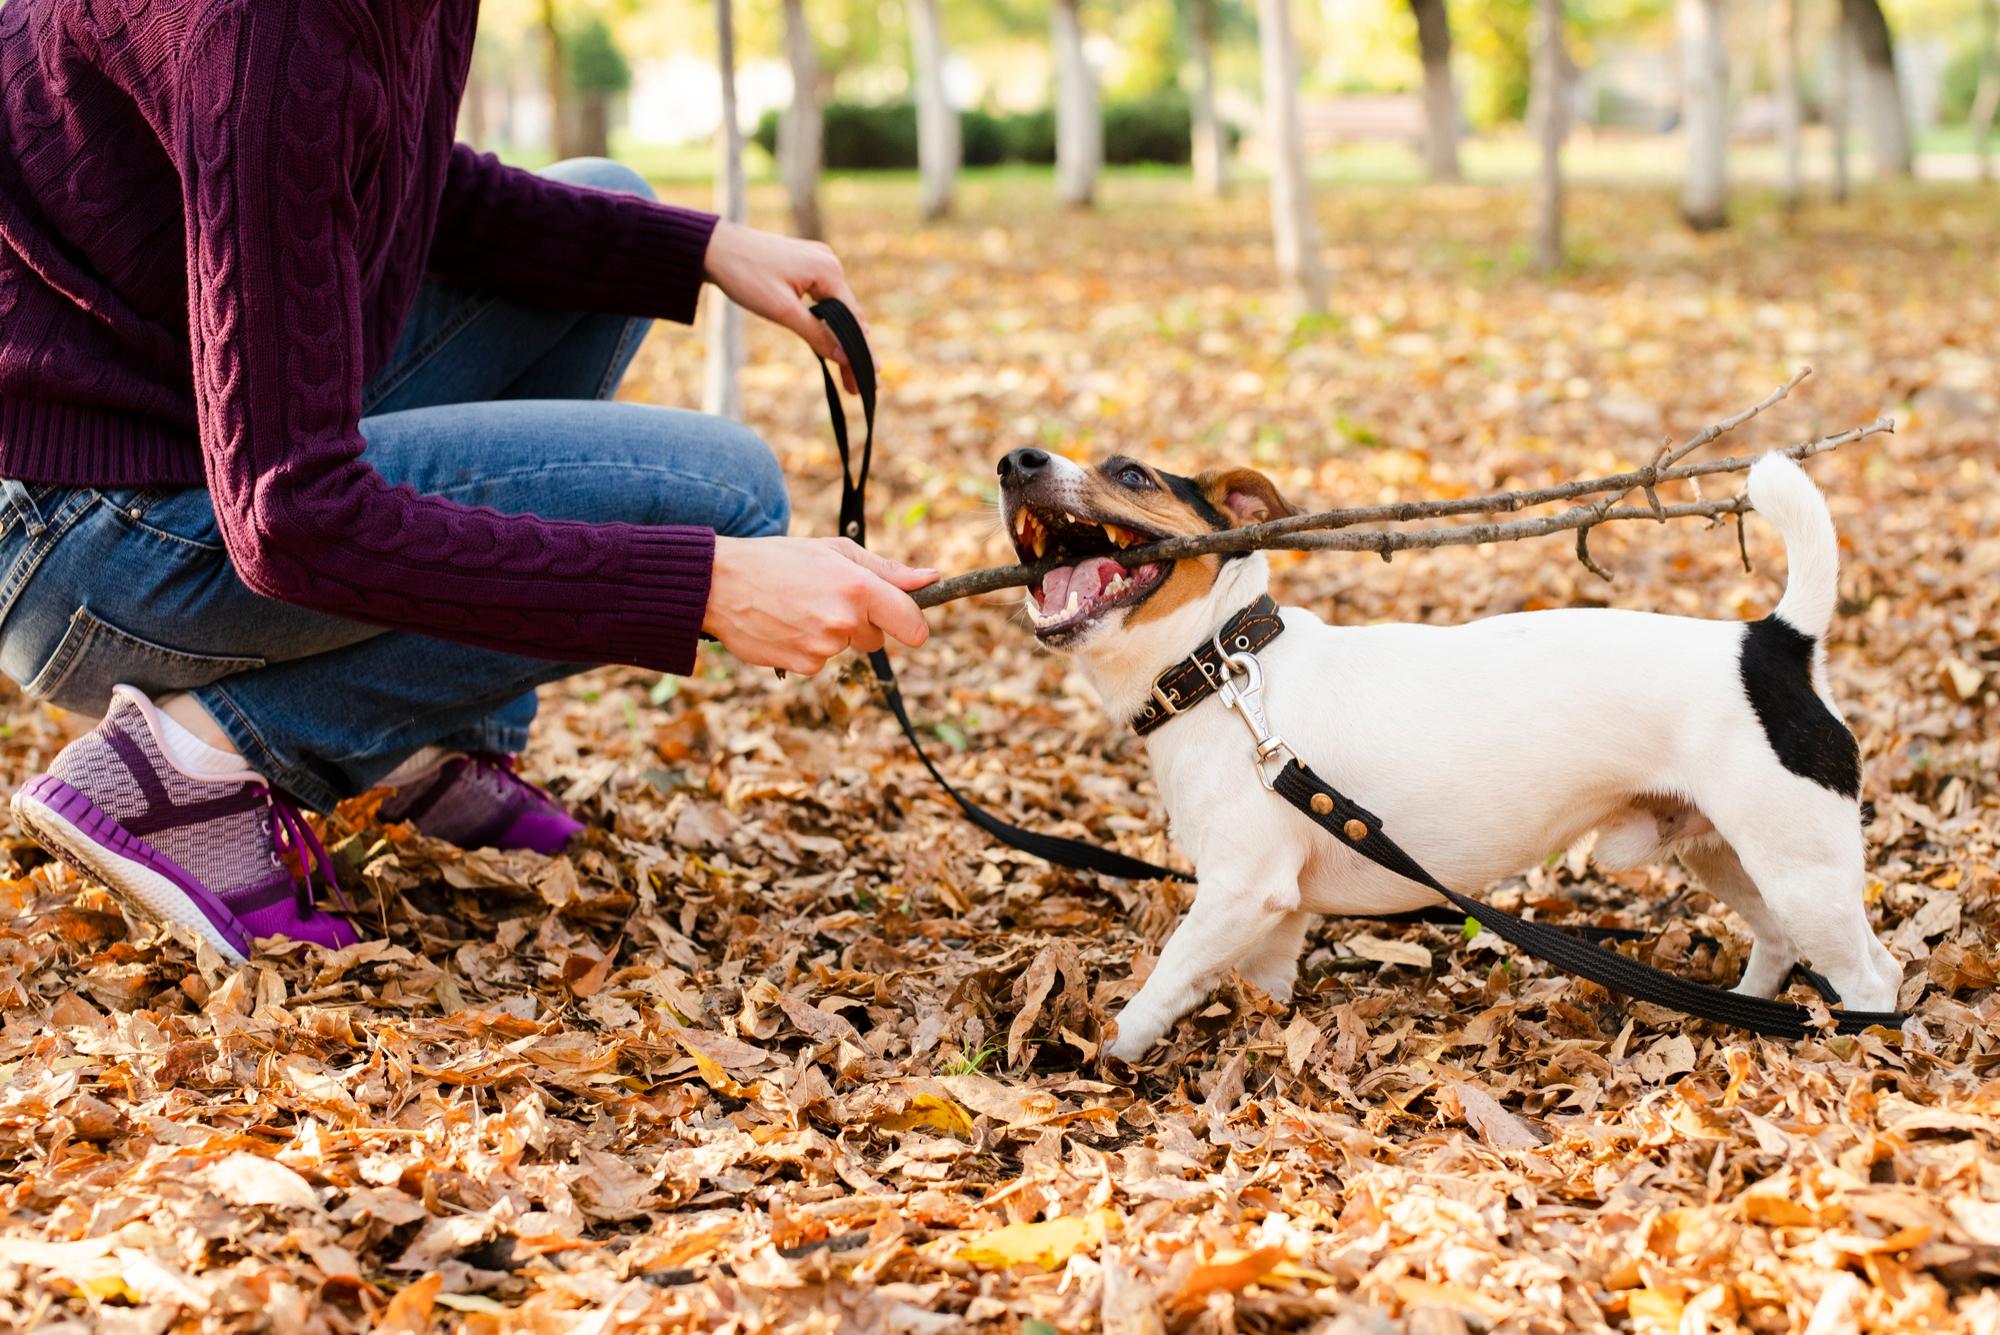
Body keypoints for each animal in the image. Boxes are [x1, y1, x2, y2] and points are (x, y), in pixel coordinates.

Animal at [992, 447, 1896, 1063]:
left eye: (1132, 474)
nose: (1017, 460)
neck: (1224, 667)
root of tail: (1773, 642)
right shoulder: (1276, 908)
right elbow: (1268, 984)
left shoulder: (1239, 890)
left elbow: (1166, 978)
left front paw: (1108, 1046)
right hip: (1727, 855)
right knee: (1781, 944)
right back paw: (1746, 1017)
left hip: (1798, 867)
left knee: (1873, 977)